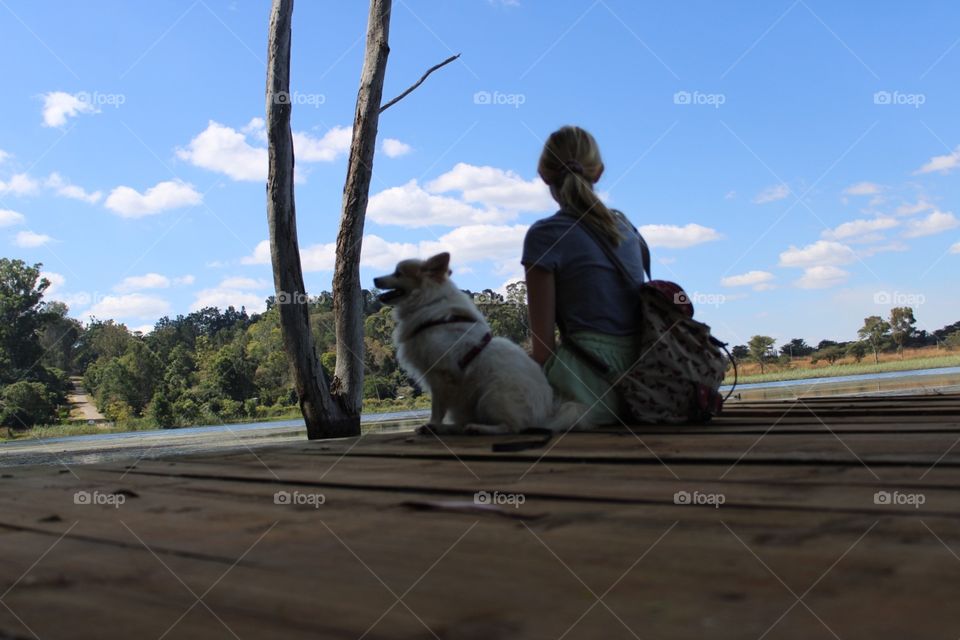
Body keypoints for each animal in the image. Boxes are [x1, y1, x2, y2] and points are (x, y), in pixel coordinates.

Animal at [374, 251, 584, 436]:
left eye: (398, 273)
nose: (374, 279)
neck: (428, 303)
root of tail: (545, 415)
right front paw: (437, 426)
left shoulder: (440, 375)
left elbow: (437, 408)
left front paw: (432, 425)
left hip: (490, 396)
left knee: (513, 427)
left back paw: (478, 428)